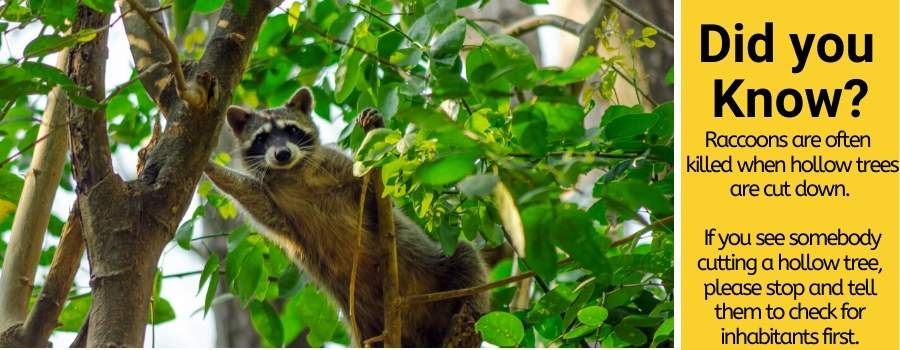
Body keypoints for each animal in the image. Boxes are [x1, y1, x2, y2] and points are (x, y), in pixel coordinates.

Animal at [204, 88, 488, 348]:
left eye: (292, 131)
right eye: (262, 138)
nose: (282, 153)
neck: (293, 173)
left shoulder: (336, 164)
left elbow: (376, 193)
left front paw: (373, 138)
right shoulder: (277, 208)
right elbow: (252, 199)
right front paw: (212, 169)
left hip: (438, 274)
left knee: (466, 260)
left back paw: (467, 322)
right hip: (364, 323)